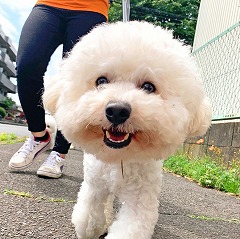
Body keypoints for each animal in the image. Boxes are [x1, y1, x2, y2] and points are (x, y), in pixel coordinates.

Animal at [43, 21, 212, 238]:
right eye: (101, 81)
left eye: (148, 87)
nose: (117, 111)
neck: (119, 158)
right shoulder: (94, 185)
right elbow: (89, 215)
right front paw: (94, 228)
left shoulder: (140, 199)